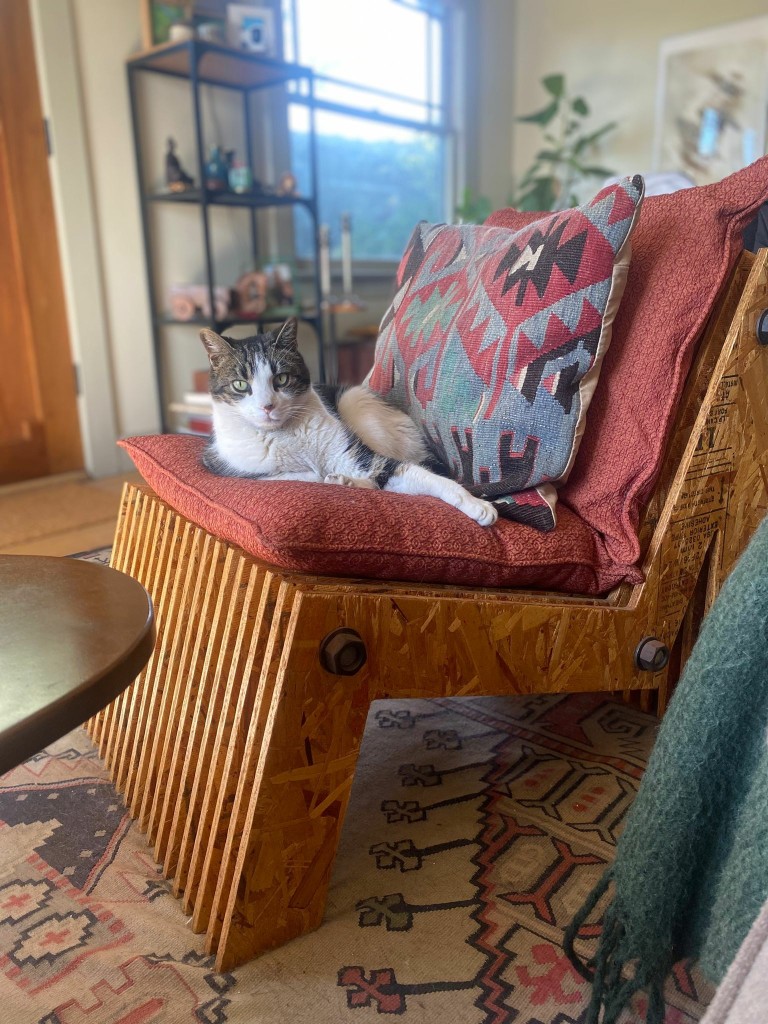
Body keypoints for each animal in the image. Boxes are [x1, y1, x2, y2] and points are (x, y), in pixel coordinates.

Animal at [198, 319, 499, 528]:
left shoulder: (357, 455)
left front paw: (476, 504)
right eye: (240, 384)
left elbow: (415, 474)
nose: (267, 406)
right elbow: (299, 475)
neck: (287, 434)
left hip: (354, 402)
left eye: (281, 379)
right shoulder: (230, 466)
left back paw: (346, 481)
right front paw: (324, 477)